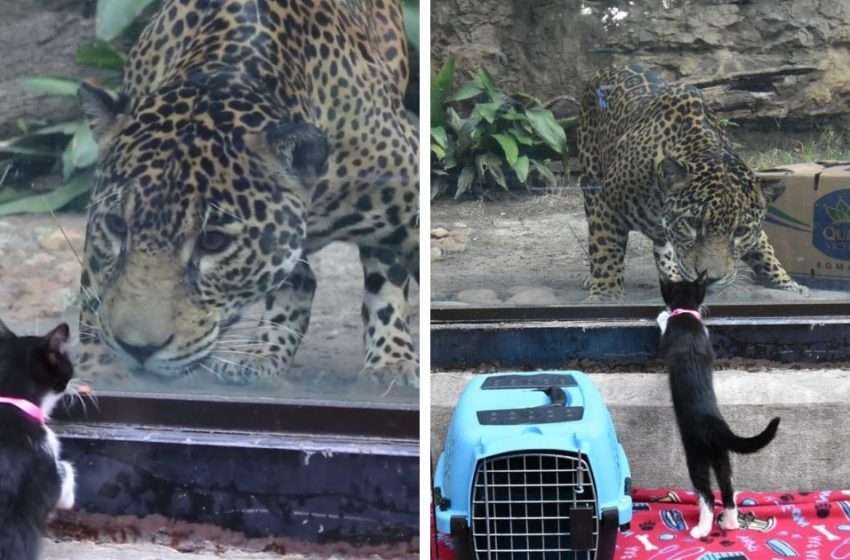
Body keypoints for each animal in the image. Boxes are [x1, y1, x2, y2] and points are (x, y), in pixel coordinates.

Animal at [656, 274, 780, 540]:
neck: (687, 315)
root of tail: (714, 424)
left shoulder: (669, 337)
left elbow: (664, 327)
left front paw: (662, 315)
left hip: (696, 453)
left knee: (707, 494)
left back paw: (701, 529)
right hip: (722, 455)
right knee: (727, 490)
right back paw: (730, 523)